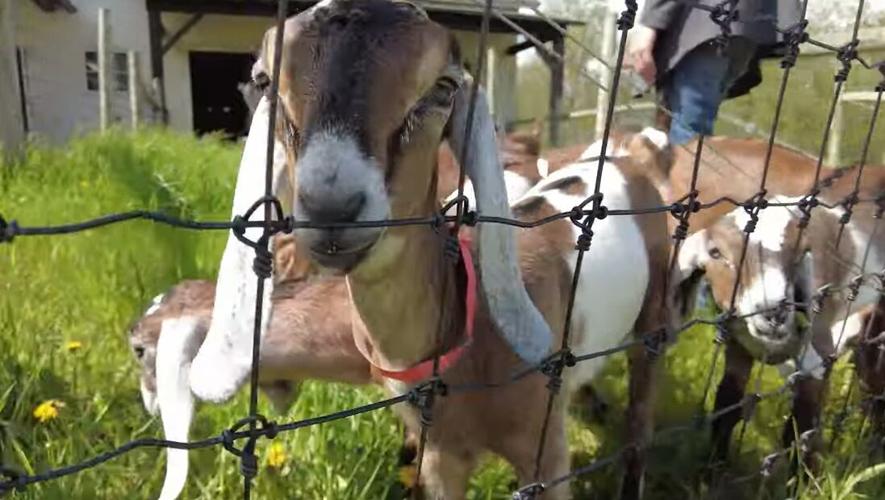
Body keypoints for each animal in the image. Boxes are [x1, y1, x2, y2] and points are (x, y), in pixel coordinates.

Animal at [189, 2, 673, 498]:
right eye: (265, 80)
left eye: (443, 87)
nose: (332, 207)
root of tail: (629, 156)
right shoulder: (440, 456)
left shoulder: (546, 452)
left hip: (655, 306)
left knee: (643, 403)